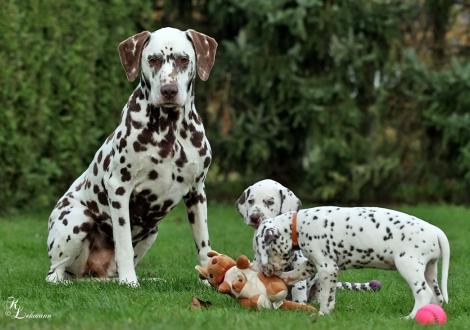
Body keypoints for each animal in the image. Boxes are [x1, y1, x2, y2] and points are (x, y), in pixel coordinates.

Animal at [45, 27, 218, 286]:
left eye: (183, 59)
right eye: (153, 59)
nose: (169, 90)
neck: (170, 130)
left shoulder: (197, 193)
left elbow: (204, 246)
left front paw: (209, 281)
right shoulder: (119, 189)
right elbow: (123, 243)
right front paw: (129, 281)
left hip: (151, 232)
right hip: (76, 219)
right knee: (54, 273)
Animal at [237, 180, 380, 304]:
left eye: (269, 202)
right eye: (250, 201)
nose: (254, 217)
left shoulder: (299, 266)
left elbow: (298, 287)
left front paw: (299, 305)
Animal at [252, 206, 450, 318]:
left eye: (259, 252)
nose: (256, 270)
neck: (297, 225)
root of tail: (435, 230)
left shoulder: (327, 267)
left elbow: (327, 296)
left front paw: (323, 314)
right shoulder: (315, 263)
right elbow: (298, 272)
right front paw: (284, 278)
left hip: (409, 266)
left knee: (423, 293)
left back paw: (411, 317)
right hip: (430, 269)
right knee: (436, 296)